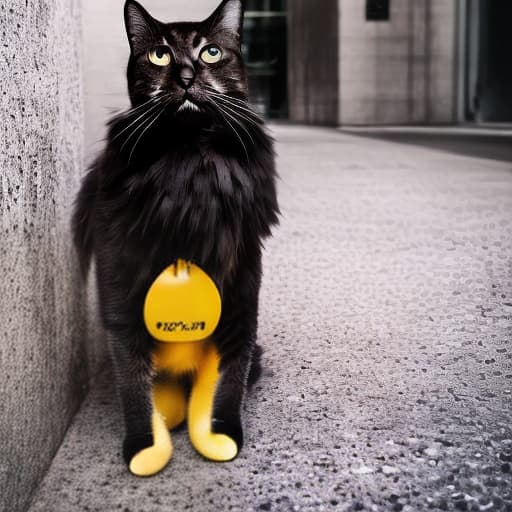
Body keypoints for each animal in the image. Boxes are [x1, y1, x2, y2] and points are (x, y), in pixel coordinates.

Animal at [72, 0, 278, 474]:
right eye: (160, 55)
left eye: (211, 53)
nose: (185, 76)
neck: (189, 167)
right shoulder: (121, 304)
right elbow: (135, 387)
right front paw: (145, 449)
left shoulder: (241, 298)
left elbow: (226, 385)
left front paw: (221, 438)